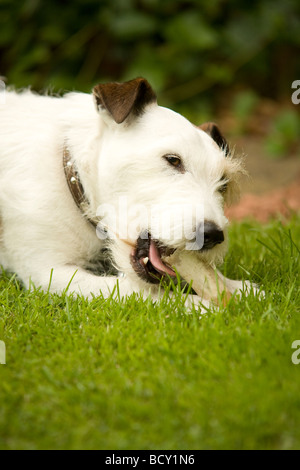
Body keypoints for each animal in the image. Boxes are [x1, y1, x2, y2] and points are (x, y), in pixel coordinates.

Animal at [0, 77, 258, 308]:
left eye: (223, 184)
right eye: (173, 160)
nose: (213, 235)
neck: (72, 173)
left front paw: (239, 288)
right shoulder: (50, 273)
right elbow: (140, 290)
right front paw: (199, 305)